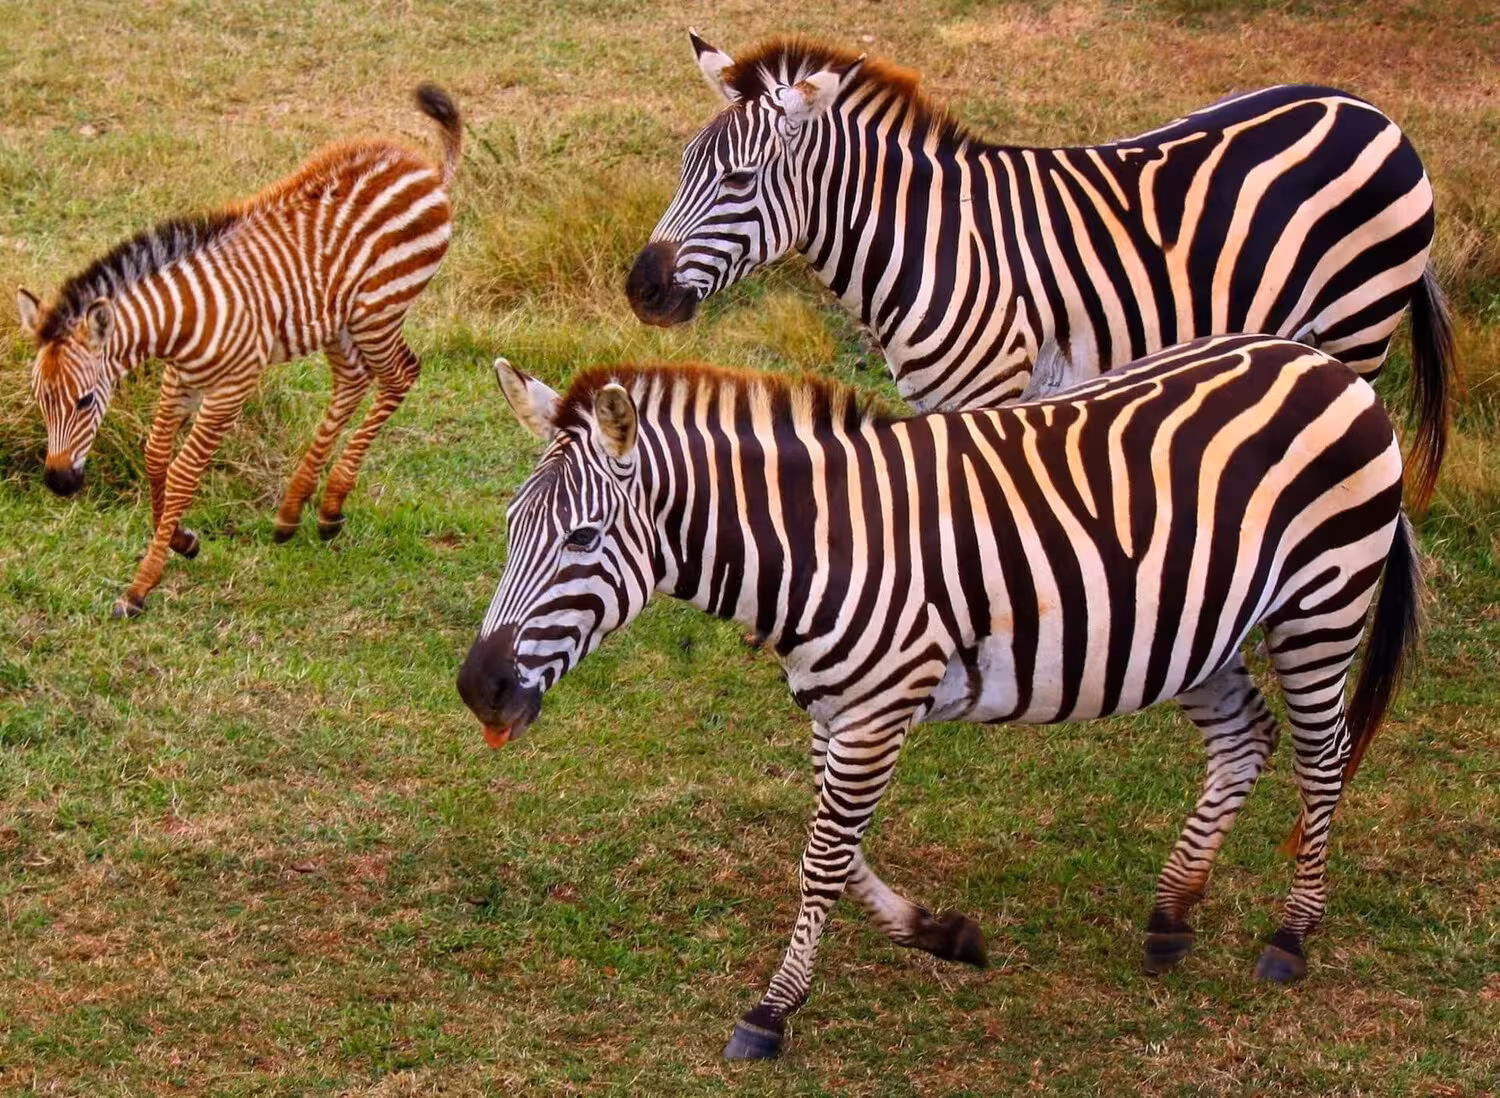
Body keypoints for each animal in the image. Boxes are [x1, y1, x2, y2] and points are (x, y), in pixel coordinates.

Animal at [17, 84, 462, 618]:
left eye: (84, 401)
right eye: (40, 401)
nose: (59, 484)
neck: (181, 319)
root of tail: (425, 168)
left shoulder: (231, 387)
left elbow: (183, 471)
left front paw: (142, 584)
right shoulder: (179, 379)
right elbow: (155, 453)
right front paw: (181, 538)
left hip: (378, 308)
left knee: (399, 375)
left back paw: (331, 504)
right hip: (339, 321)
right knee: (353, 382)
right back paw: (294, 512)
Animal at [457, 334, 1421, 1060]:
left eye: (584, 538)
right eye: (509, 527)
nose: (477, 688)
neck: (816, 544)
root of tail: (1325, 364)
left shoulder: (879, 704)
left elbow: (822, 860)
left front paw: (771, 1012)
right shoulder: (837, 705)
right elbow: (839, 855)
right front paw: (944, 935)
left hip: (1322, 603)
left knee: (1324, 755)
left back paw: (1290, 935)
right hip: (1195, 626)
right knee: (1244, 739)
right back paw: (1170, 916)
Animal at [626, 33, 1454, 509]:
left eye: (737, 180)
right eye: (684, 165)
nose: (642, 289)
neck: (929, 241)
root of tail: (1371, 112)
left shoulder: (989, 394)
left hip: (1357, 325)